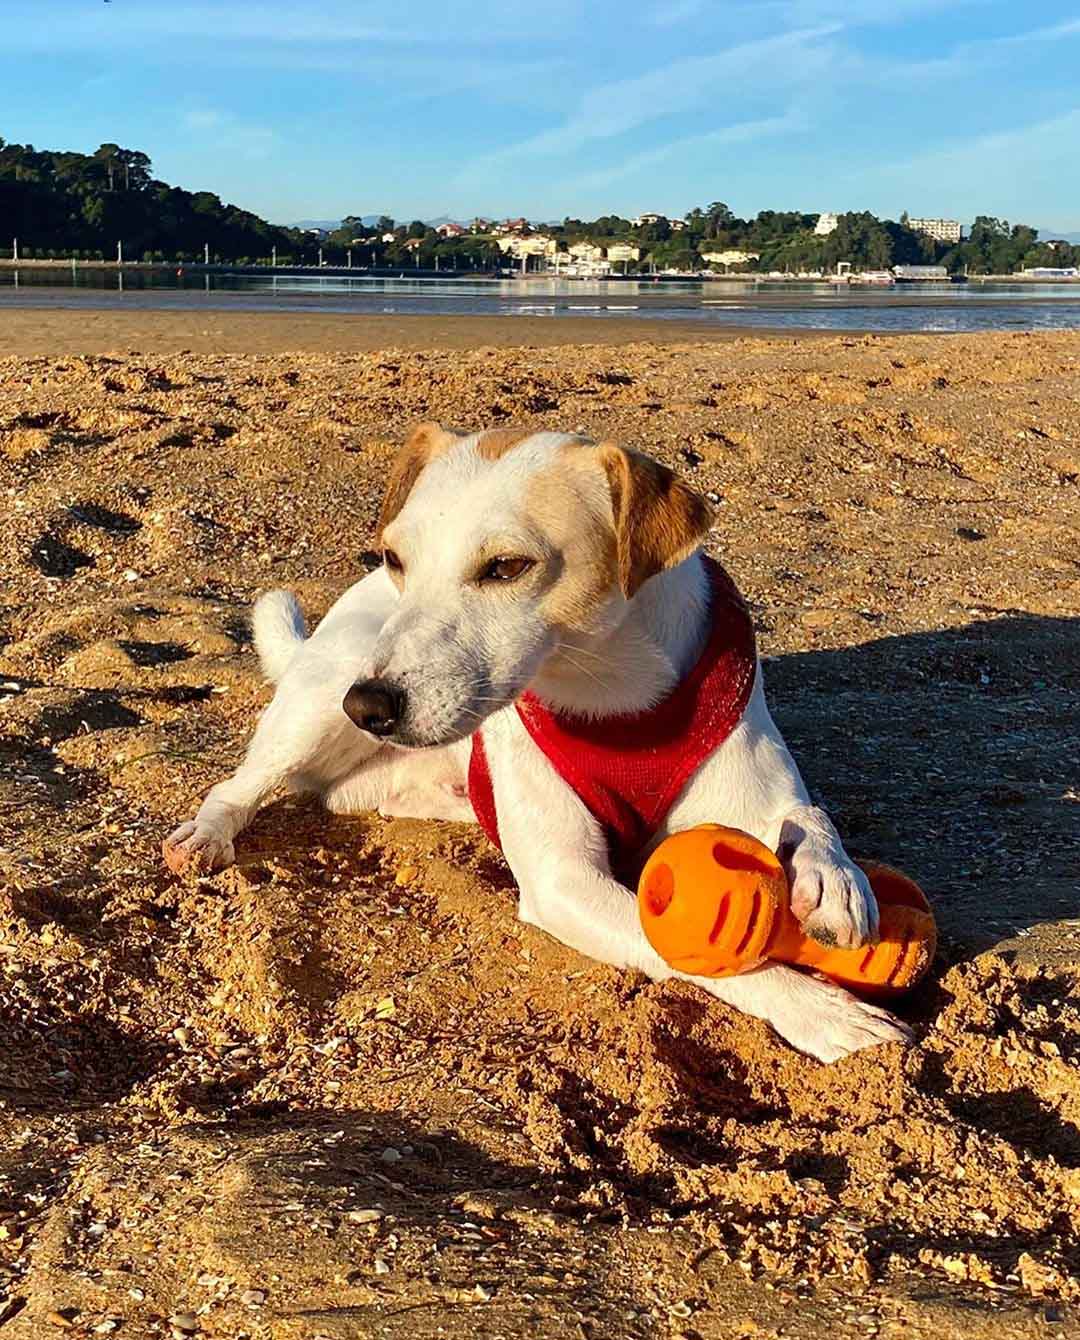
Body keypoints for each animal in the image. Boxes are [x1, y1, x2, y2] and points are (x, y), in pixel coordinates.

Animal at [166, 423, 911, 1061]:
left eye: (505, 568)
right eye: (396, 557)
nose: (369, 706)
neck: (618, 697)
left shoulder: (754, 790)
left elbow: (807, 814)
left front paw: (834, 880)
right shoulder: (564, 880)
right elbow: (694, 951)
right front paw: (823, 1011)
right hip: (320, 702)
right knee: (238, 785)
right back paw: (206, 835)